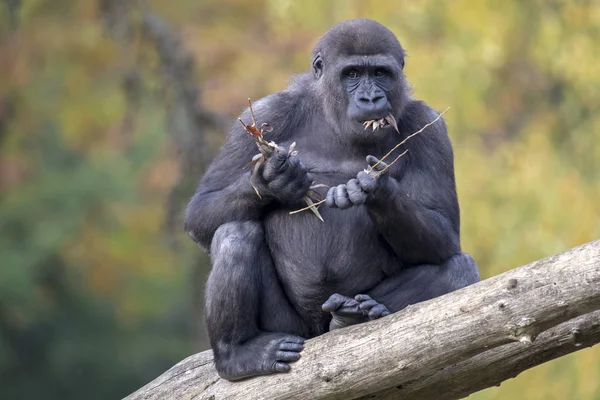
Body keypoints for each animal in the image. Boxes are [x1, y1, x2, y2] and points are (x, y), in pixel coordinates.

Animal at [185, 19, 480, 382]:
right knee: (234, 234)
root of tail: (319, 333)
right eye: (351, 73)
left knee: (460, 270)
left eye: (380, 73)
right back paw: (238, 353)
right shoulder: (266, 112)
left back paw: (357, 313)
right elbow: (201, 210)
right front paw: (273, 181)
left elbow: (444, 233)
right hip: (292, 330)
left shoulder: (429, 125)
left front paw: (377, 189)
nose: (371, 97)